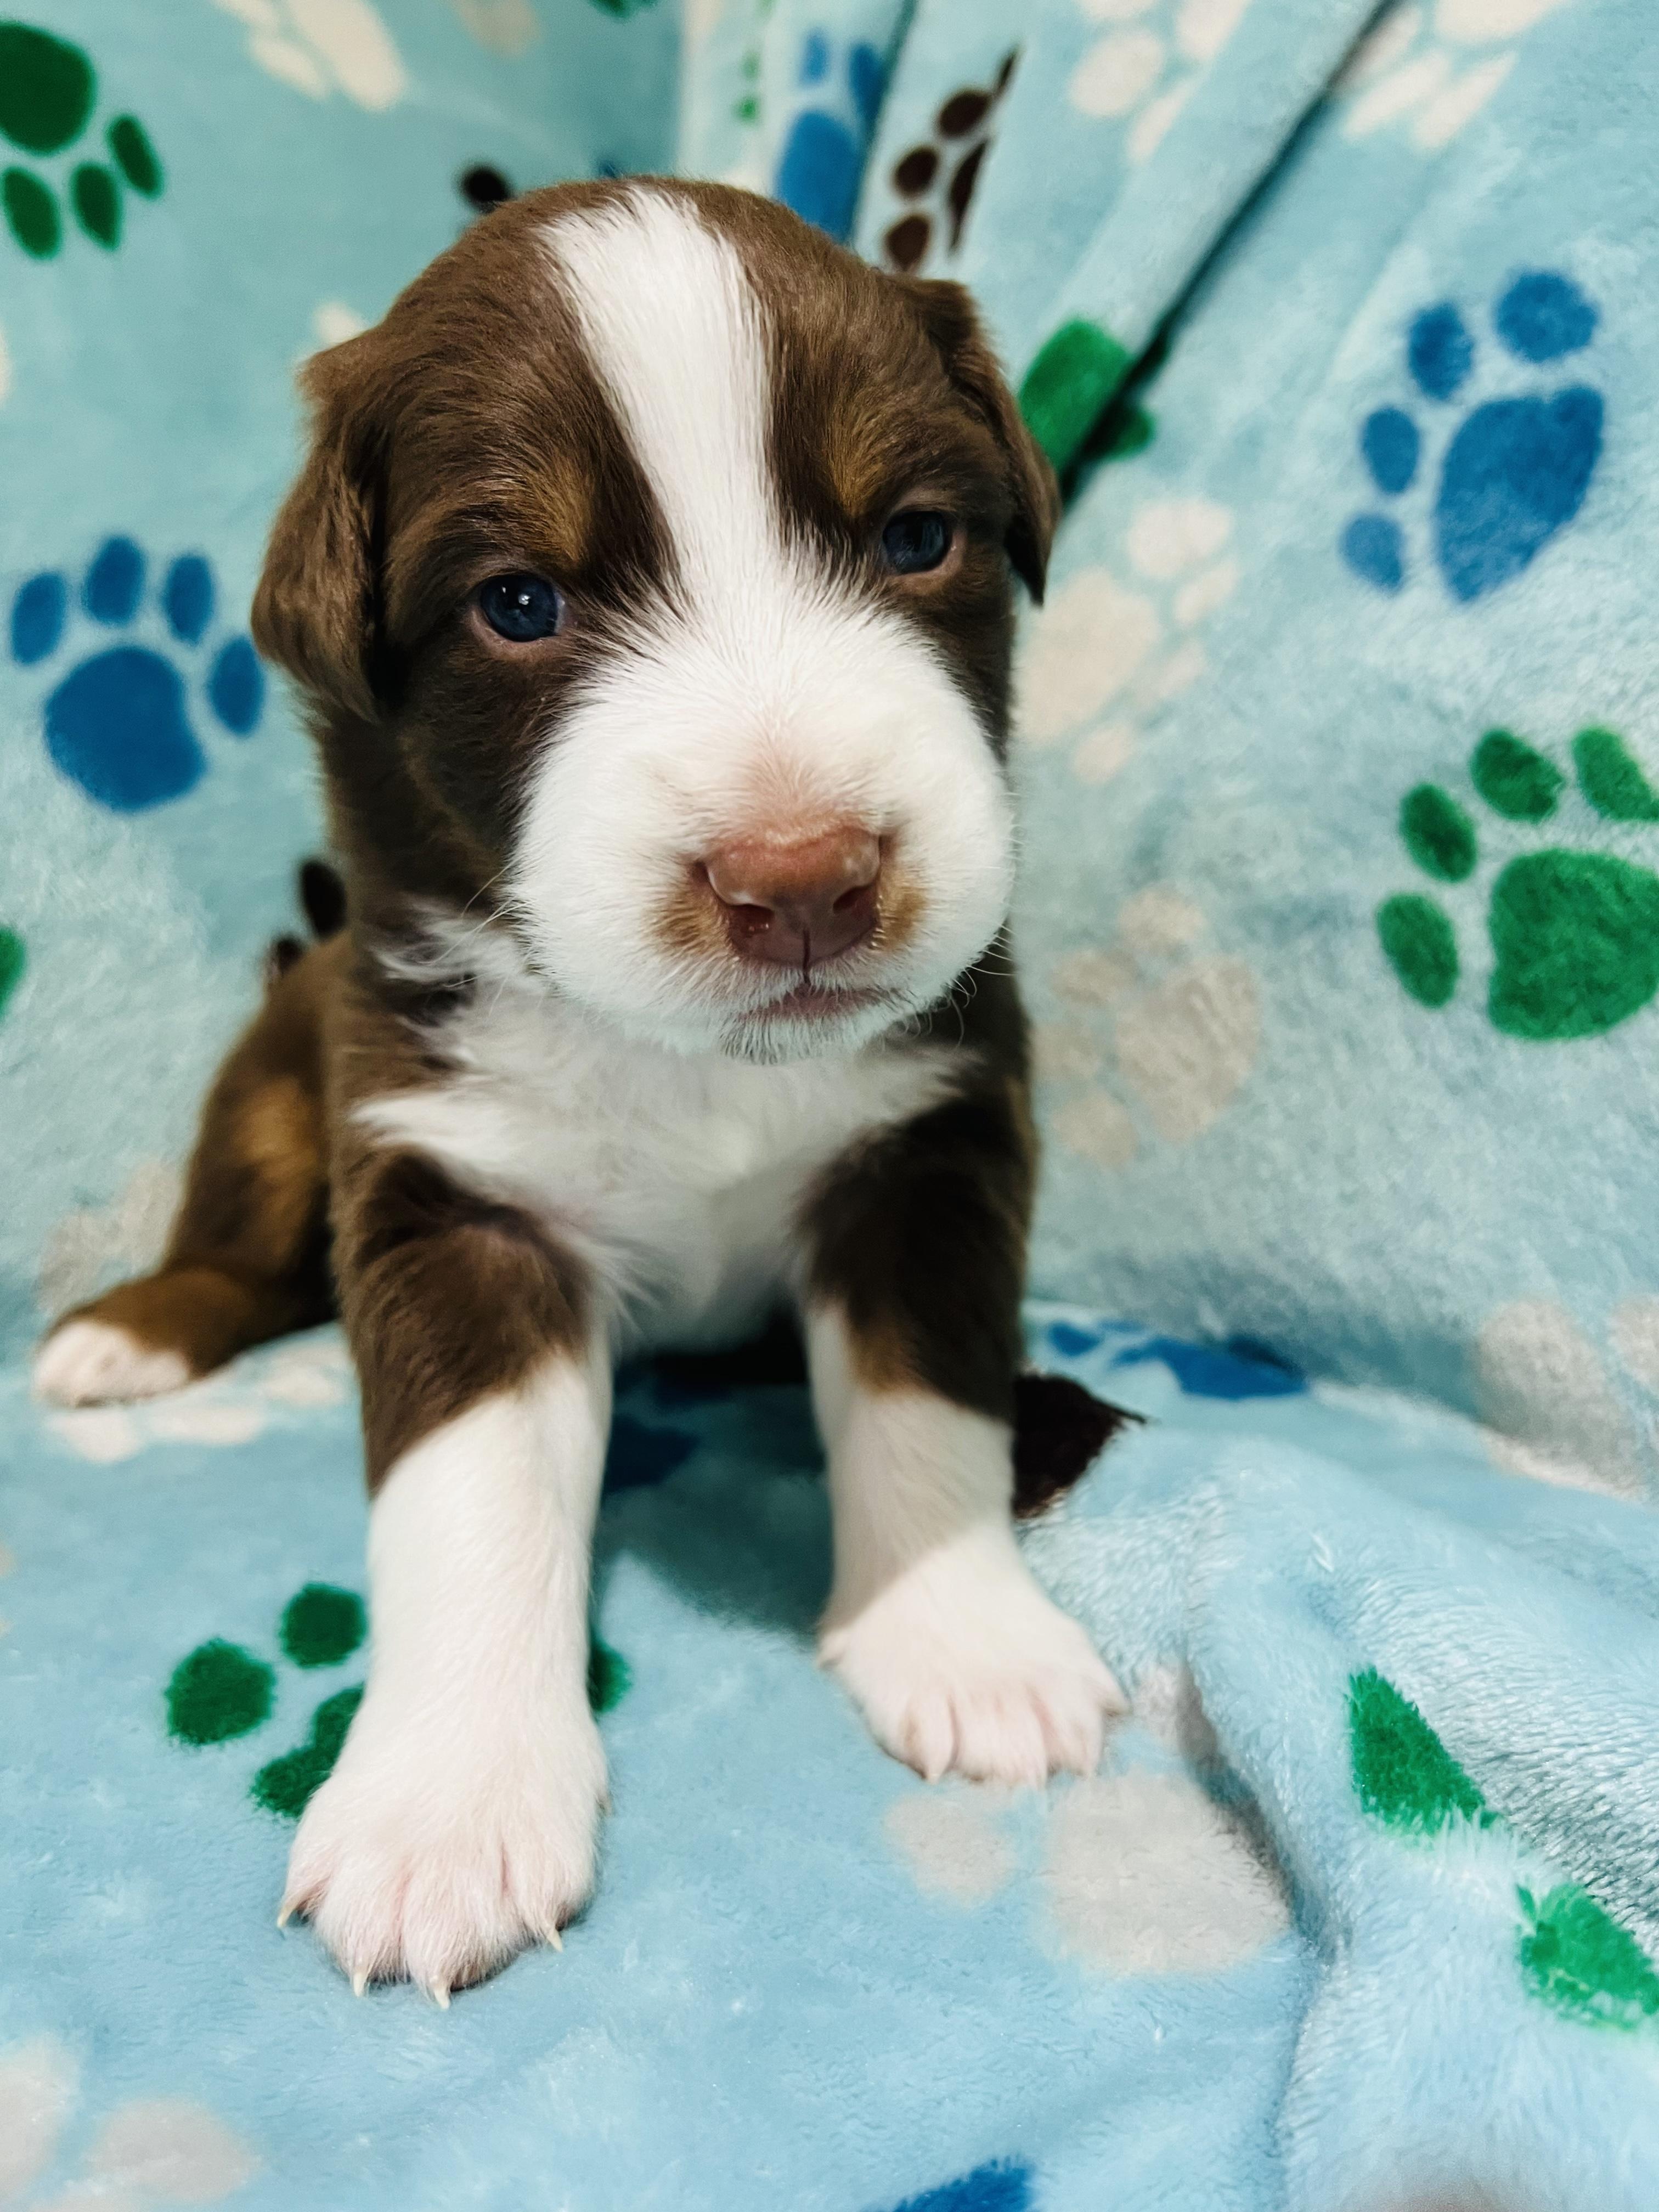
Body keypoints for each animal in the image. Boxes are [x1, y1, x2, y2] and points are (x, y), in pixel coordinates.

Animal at [33, 178, 1124, 2000]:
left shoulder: (932, 1138)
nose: (803, 880)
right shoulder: (459, 1190)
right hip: (274, 1082)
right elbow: (467, 1506)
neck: (686, 1064)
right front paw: (443, 1815)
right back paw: (127, 1336)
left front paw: (965, 1640)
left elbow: (928, 1397)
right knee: (239, 1244)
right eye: (522, 605)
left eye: (915, 539)